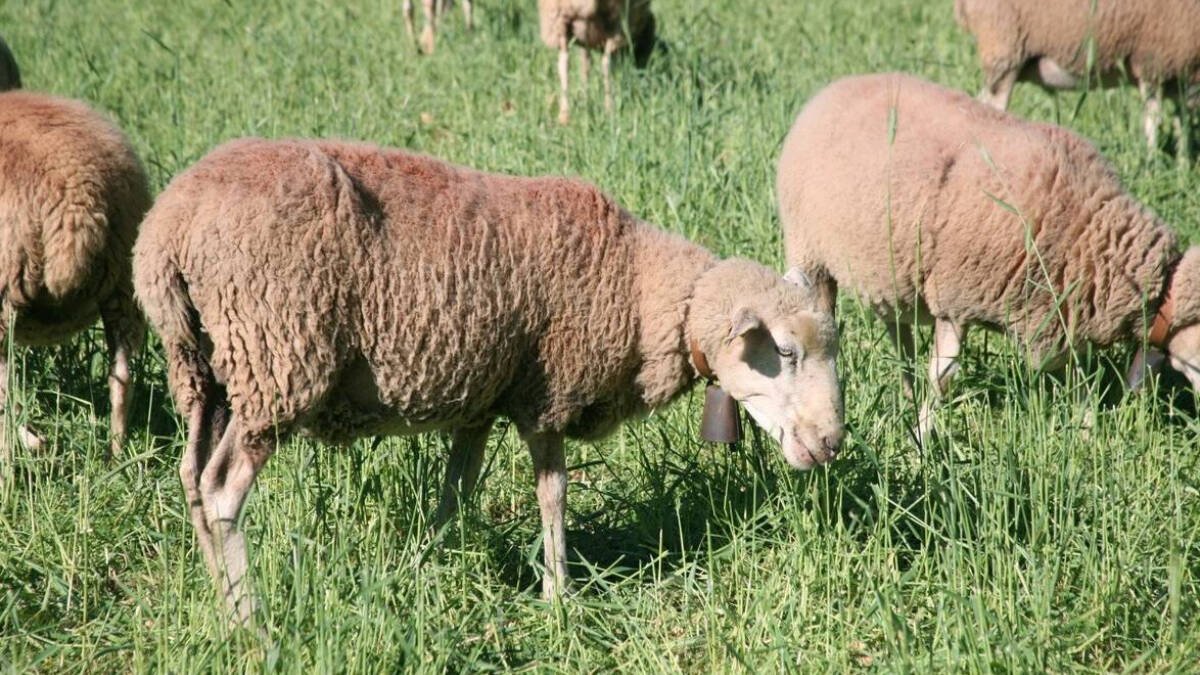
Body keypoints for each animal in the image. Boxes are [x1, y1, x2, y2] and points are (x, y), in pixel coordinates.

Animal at [0, 91, 150, 455]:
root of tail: (76, 200)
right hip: (123, 283)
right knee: (121, 374)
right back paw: (115, 453)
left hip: (5, 287)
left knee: (4, 389)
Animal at [132, 137, 844, 625]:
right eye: (784, 351)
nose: (832, 443)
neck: (644, 290)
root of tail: (167, 229)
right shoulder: (548, 393)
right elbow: (553, 494)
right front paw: (561, 596)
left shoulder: (481, 398)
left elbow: (456, 491)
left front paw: (426, 567)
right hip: (276, 358)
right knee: (222, 489)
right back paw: (252, 622)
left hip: (202, 369)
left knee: (191, 477)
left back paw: (218, 601)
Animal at [776, 73, 1200, 439]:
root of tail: (833, 88)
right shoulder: (955, 299)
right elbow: (944, 377)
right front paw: (923, 439)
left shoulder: (1063, 314)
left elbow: (1080, 378)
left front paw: (1086, 430)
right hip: (810, 255)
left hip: (889, 272)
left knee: (899, 336)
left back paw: (906, 393)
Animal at [954, 0, 1200, 151]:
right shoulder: (1152, 64)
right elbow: (1153, 120)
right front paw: (1152, 162)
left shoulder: (1182, 78)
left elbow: (1183, 124)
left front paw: (1183, 167)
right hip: (1004, 51)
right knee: (992, 106)